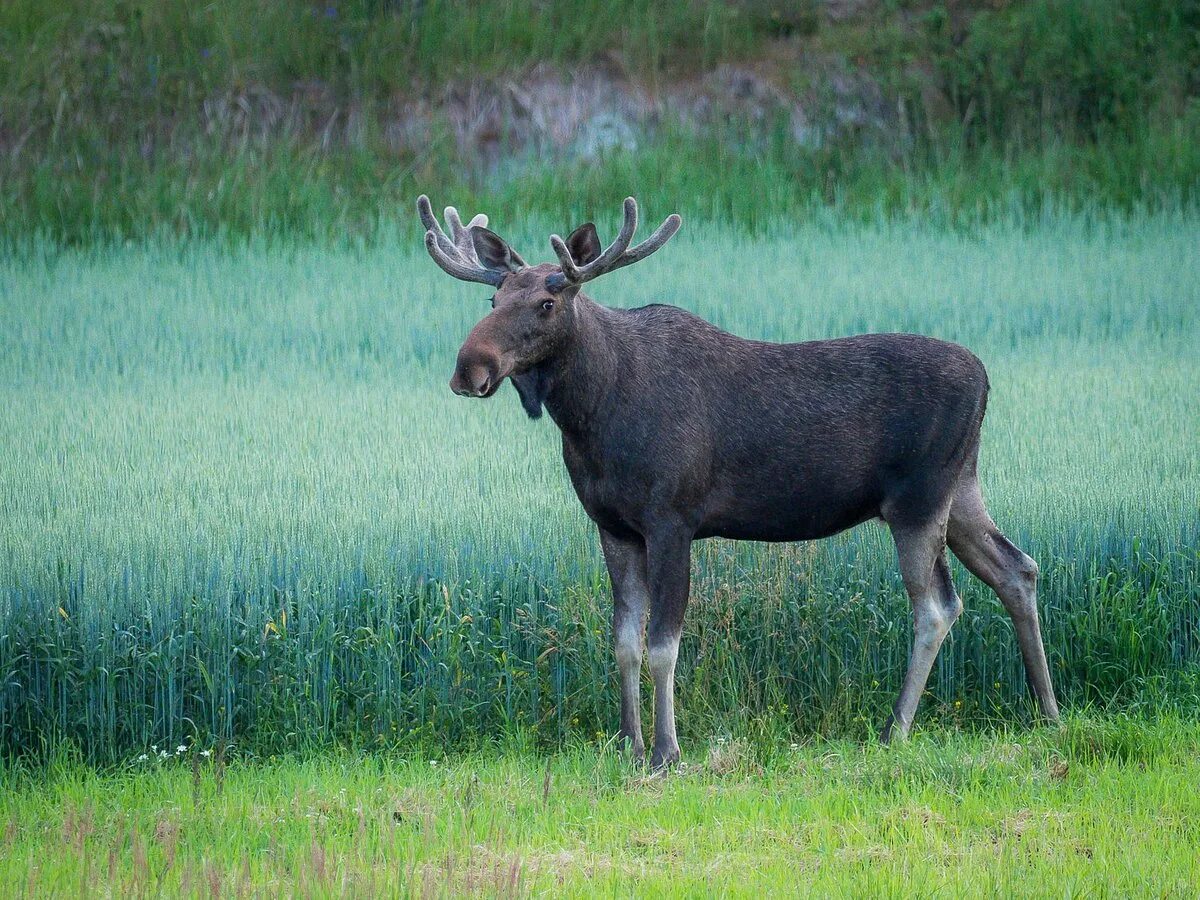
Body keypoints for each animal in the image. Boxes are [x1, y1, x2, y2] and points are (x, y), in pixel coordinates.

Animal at [420, 195, 1060, 768]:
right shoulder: (612, 525)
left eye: (549, 301)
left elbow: (662, 644)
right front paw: (627, 745)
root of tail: (984, 377)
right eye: (494, 295)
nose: (469, 368)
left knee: (936, 606)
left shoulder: (672, 518)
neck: (592, 414)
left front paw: (667, 752)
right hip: (961, 488)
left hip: (919, 499)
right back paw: (1047, 710)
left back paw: (895, 727)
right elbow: (623, 642)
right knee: (1017, 567)